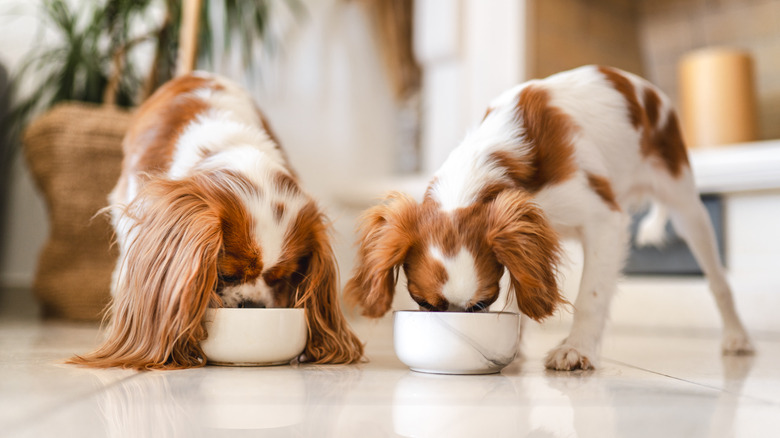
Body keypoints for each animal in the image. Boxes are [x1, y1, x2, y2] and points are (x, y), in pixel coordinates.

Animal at [344, 65, 752, 372]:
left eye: (483, 303)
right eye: (425, 304)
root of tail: (649, 91)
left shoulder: (605, 221)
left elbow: (590, 296)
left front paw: (577, 349)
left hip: (686, 205)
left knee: (719, 282)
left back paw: (737, 337)